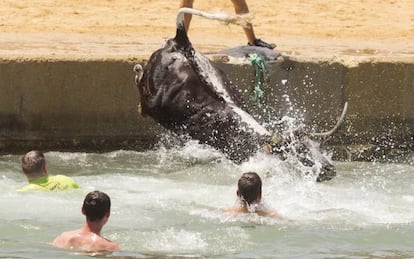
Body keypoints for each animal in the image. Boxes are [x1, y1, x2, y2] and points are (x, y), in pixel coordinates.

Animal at [134, 8, 338, 183]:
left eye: (317, 146)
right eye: (301, 150)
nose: (330, 170)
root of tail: (182, 42)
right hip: (154, 100)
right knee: (143, 93)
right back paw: (137, 74)